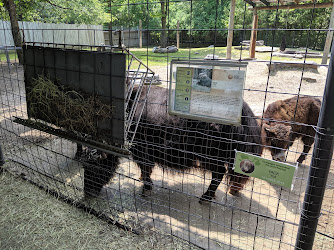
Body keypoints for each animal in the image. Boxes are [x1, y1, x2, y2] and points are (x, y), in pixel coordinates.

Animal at [81, 85, 264, 203]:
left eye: (94, 165)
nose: (88, 194)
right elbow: (145, 168)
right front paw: (143, 180)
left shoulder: (141, 149)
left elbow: (145, 166)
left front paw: (146, 188)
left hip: (211, 155)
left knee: (219, 174)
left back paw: (205, 197)